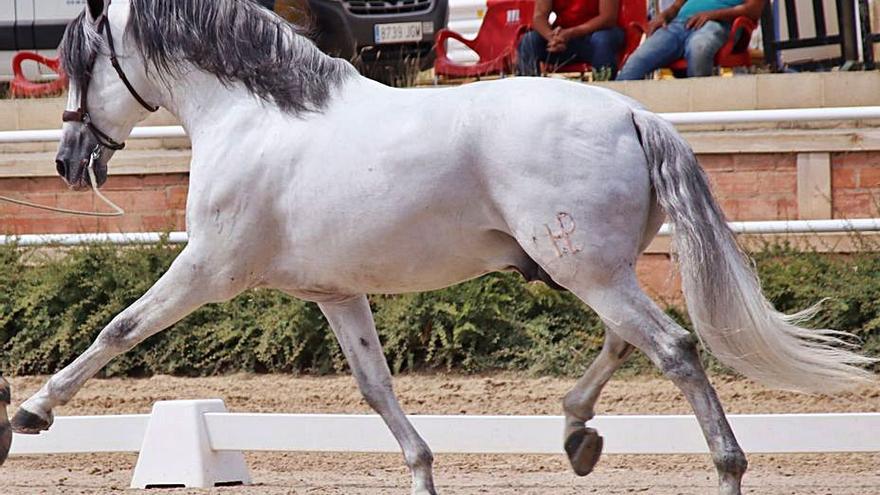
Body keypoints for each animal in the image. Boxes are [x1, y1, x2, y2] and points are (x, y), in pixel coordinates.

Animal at [0, 1, 872, 494]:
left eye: (81, 63)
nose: (69, 162)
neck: (255, 117)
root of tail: (635, 112)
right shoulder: (334, 292)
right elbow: (376, 389)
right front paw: (421, 471)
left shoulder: (208, 269)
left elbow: (118, 328)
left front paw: (29, 413)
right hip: (590, 269)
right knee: (628, 343)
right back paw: (576, 433)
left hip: (585, 268)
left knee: (674, 349)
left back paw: (722, 466)